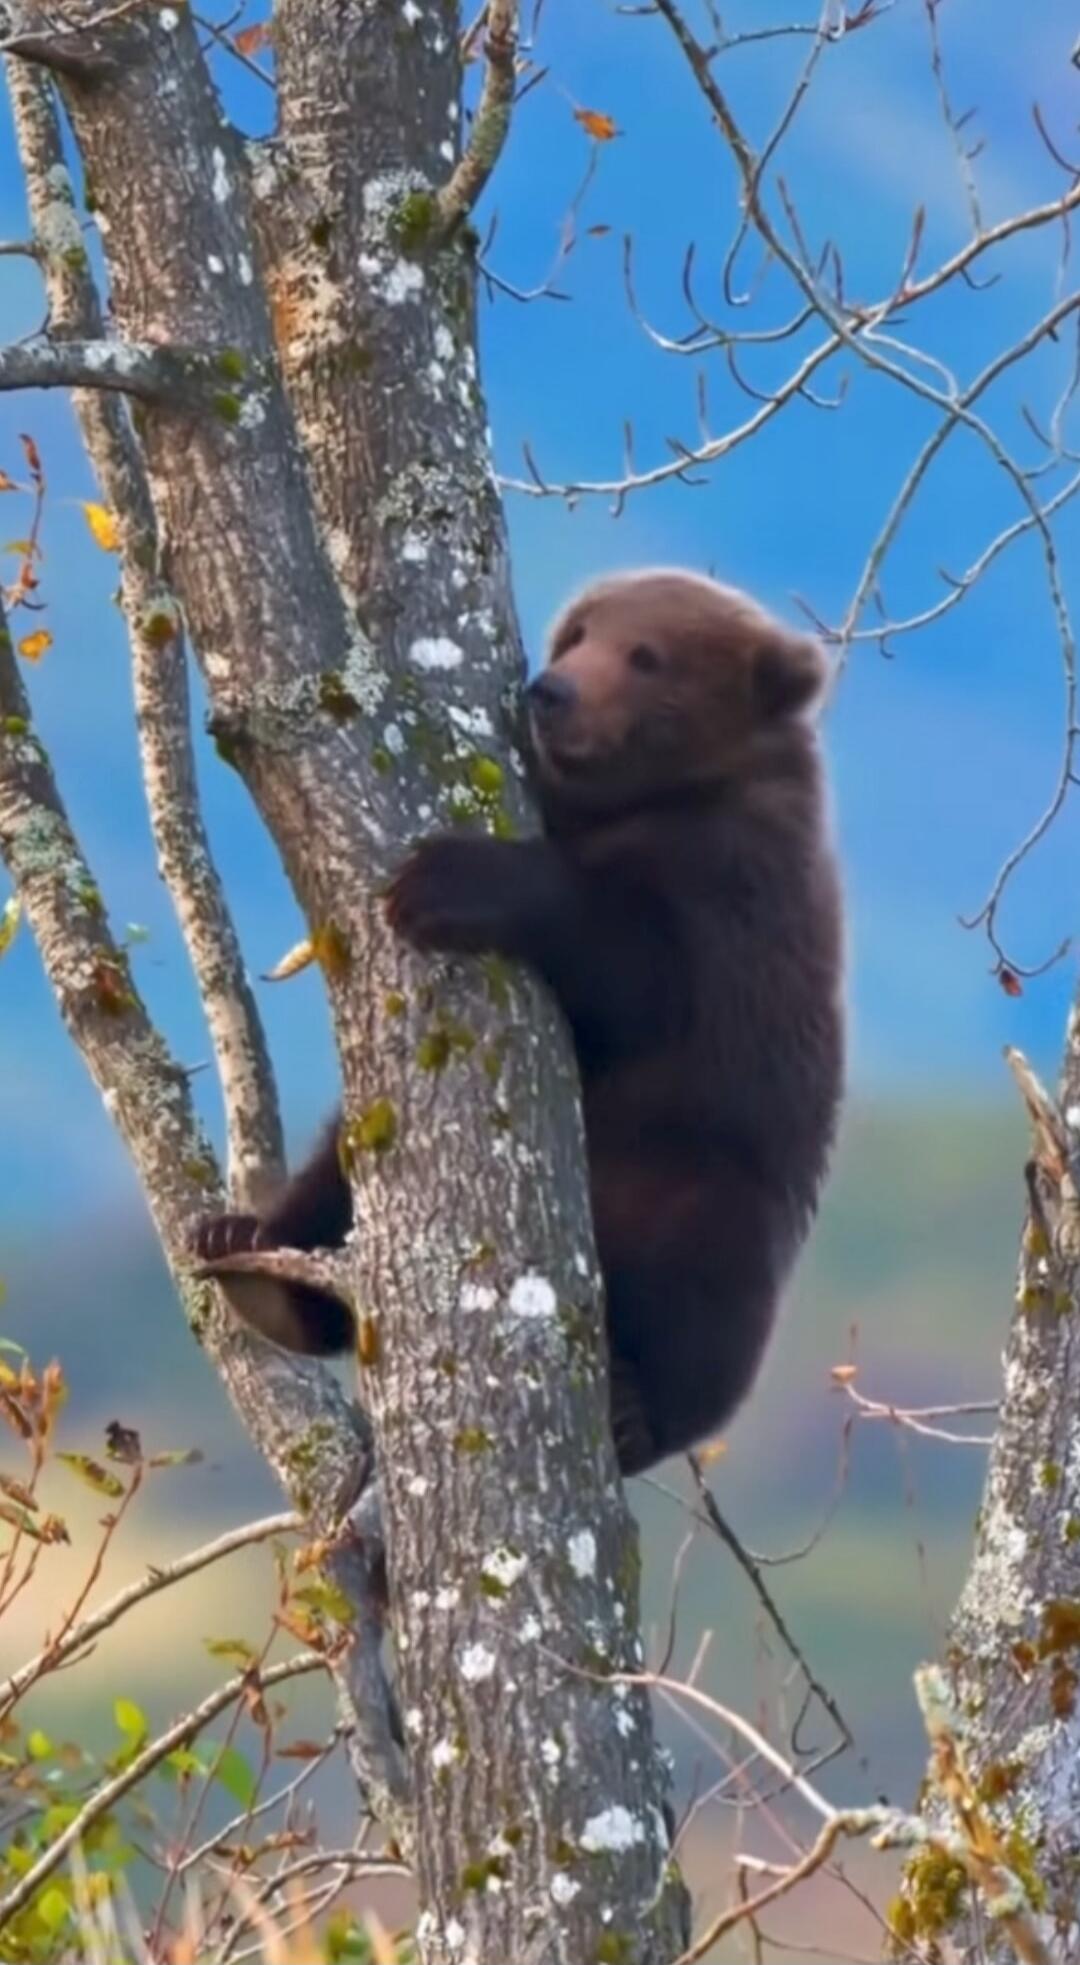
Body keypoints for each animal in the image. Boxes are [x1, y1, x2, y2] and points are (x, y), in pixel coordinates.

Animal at [195, 569, 845, 1476]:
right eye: (577, 633)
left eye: (647, 655)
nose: (553, 691)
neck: (648, 801)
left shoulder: (732, 897)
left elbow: (634, 970)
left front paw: (445, 880)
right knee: (335, 1175)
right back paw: (251, 1260)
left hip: (707, 1179)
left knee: (703, 1303)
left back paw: (635, 1411)